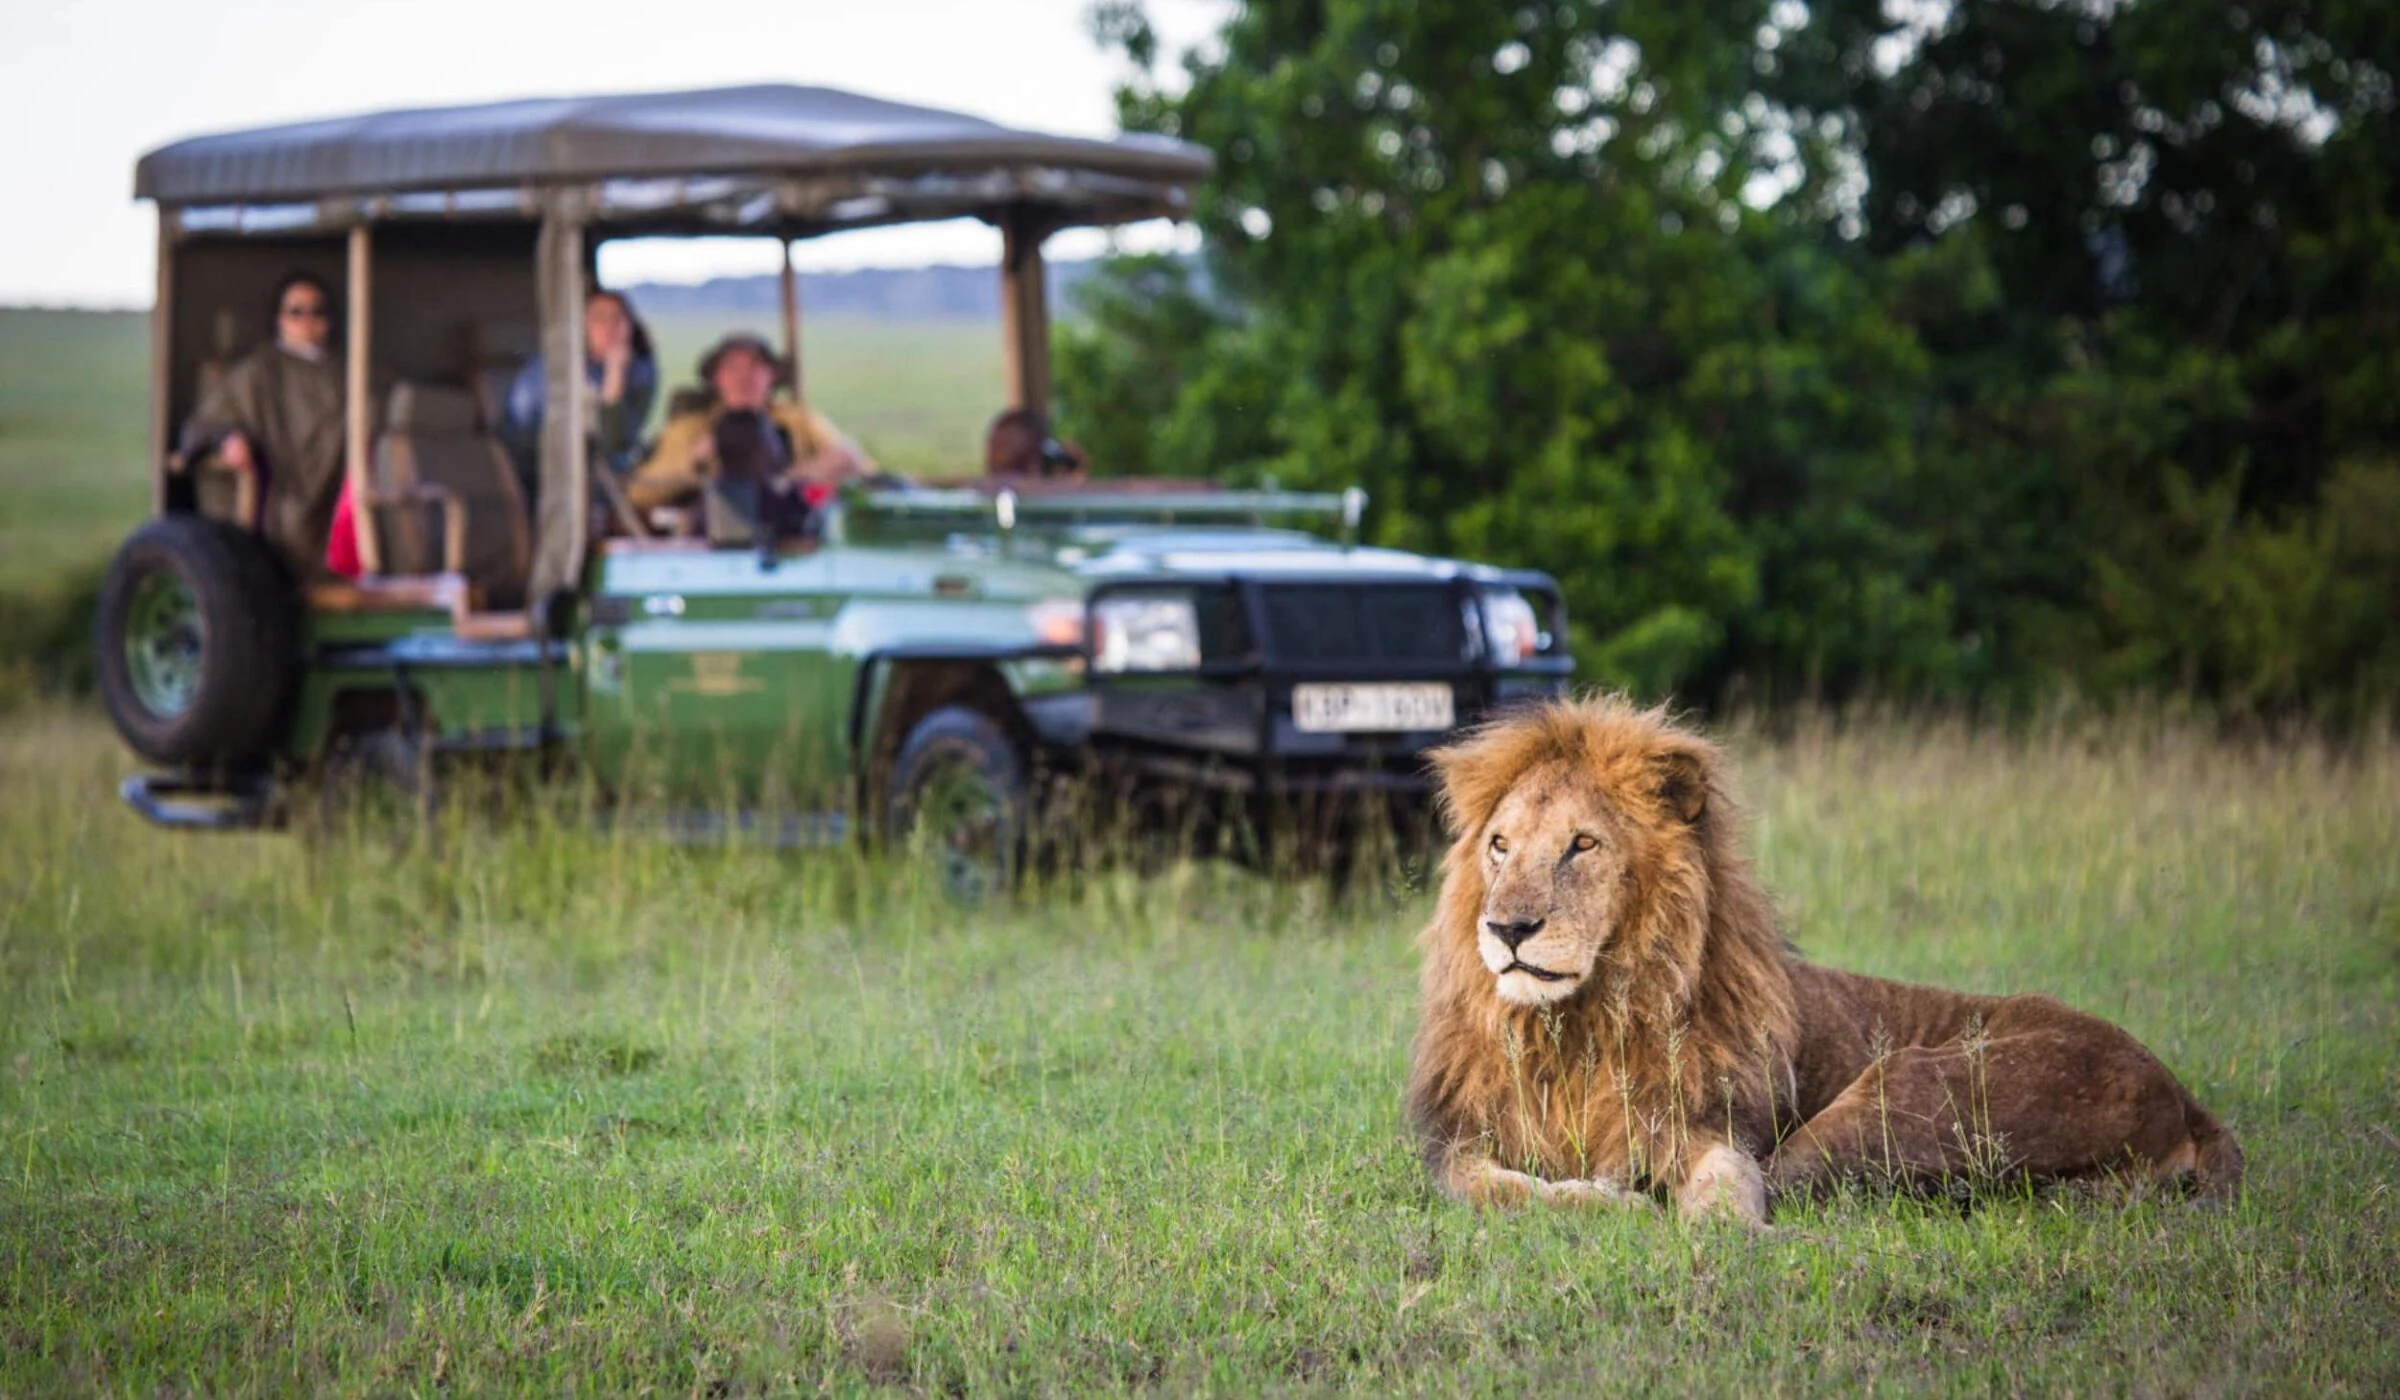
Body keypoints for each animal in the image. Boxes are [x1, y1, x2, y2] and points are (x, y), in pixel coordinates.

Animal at [1405, 696, 2243, 1224]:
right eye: (1500, 845)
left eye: (1582, 845)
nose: (1508, 928)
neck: (1579, 1029)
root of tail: (2182, 1095)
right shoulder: (1458, 1145)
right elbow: (1492, 1187)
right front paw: (1608, 1199)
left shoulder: (1708, 1124)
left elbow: (1726, 1185)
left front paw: (1710, 1223)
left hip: (1908, 1088)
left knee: (1801, 1181)